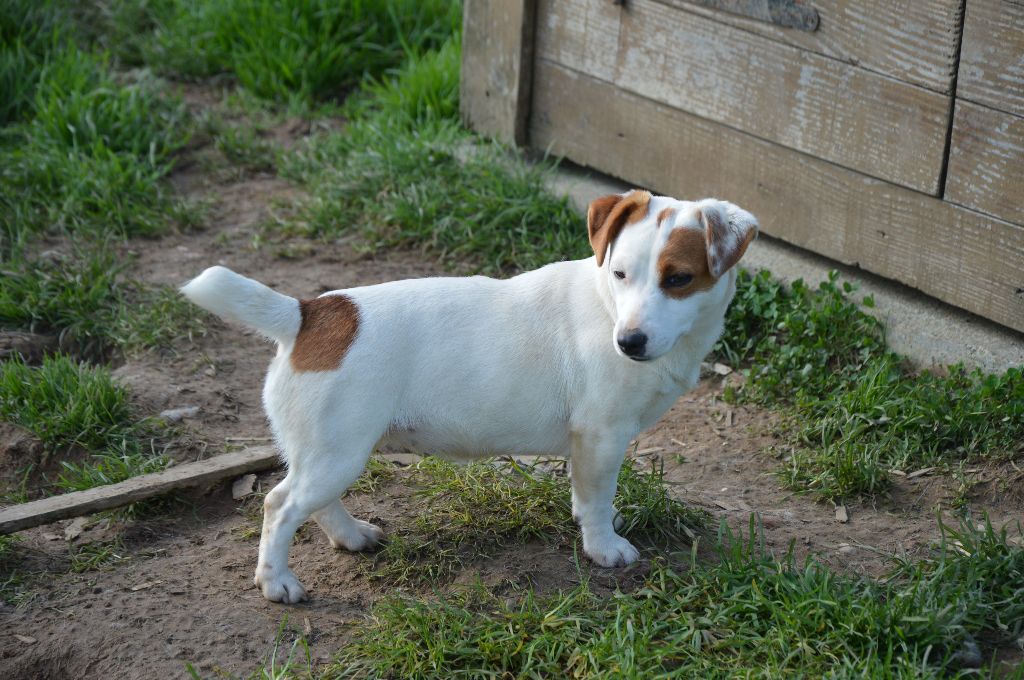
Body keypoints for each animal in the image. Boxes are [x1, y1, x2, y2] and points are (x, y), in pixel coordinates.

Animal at [184, 189, 757, 602]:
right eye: (620, 274)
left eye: (679, 279)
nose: (629, 342)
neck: (607, 306)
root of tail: (308, 314)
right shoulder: (600, 437)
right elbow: (595, 499)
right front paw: (604, 548)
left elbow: (592, 498)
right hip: (337, 453)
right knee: (280, 506)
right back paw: (276, 583)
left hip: (329, 454)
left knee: (314, 502)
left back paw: (350, 537)